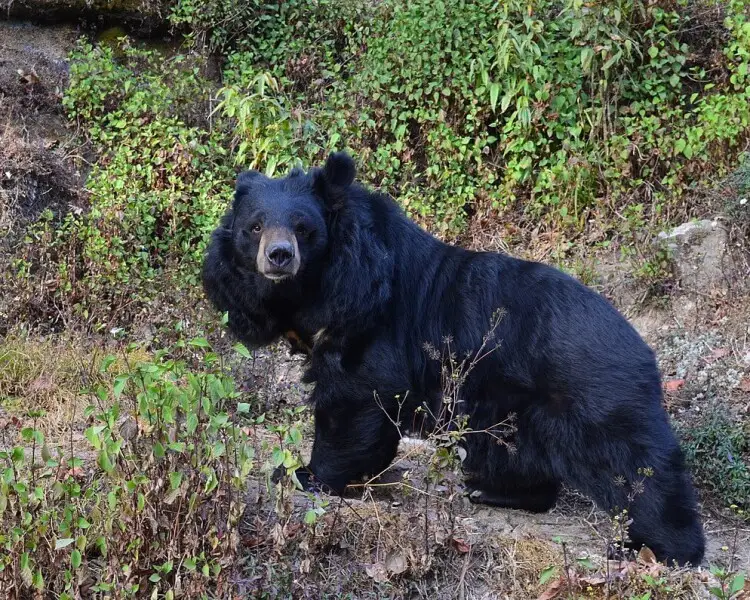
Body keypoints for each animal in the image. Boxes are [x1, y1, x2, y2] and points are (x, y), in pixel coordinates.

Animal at [202, 152, 705, 566]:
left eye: (303, 229)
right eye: (254, 227)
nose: (279, 256)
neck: (316, 287)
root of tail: (642, 347)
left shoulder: (370, 318)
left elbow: (356, 396)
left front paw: (306, 474)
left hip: (595, 400)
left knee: (638, 471)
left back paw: (660, 549)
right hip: (513, 407)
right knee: (517, 457)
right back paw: (490, 491)